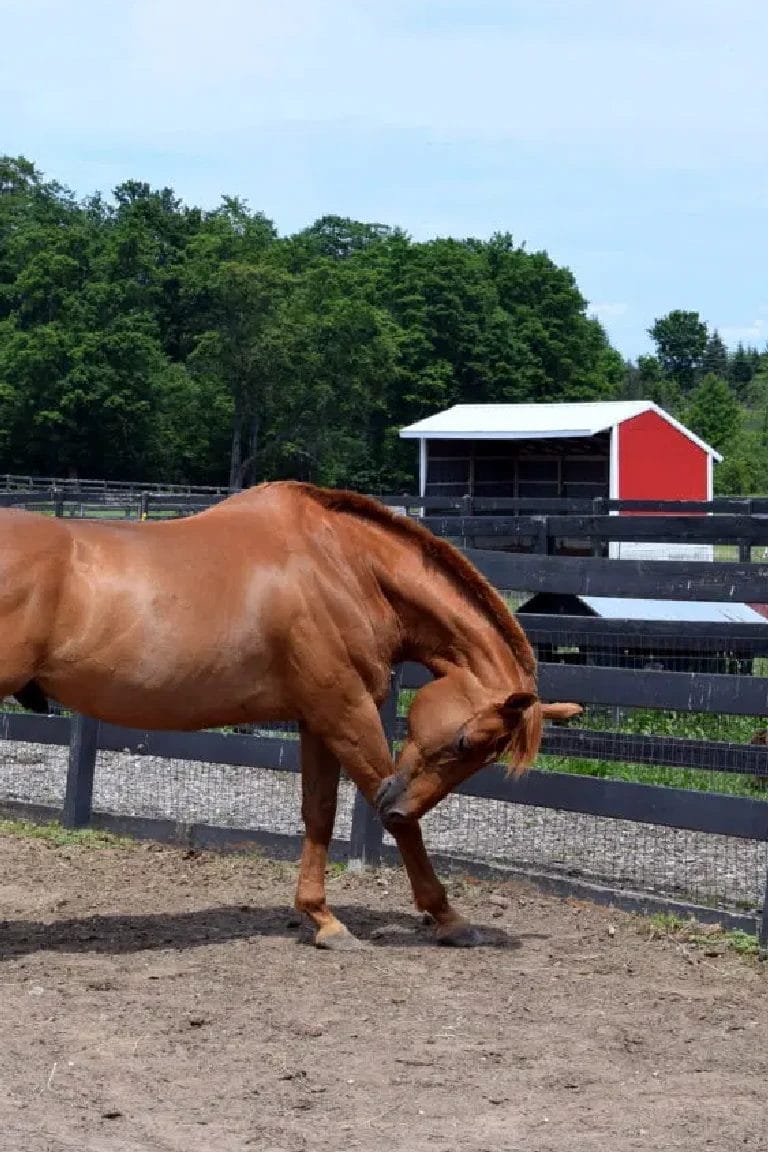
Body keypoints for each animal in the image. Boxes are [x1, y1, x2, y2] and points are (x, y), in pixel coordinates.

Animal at [0, 481, 580, 949]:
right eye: (467, 742)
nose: (397, 806)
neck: (342, 565)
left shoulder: (315, 717)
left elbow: (319, 811)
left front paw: (322, 919)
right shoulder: (346, 710)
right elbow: (389, 817)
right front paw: (449, 917)